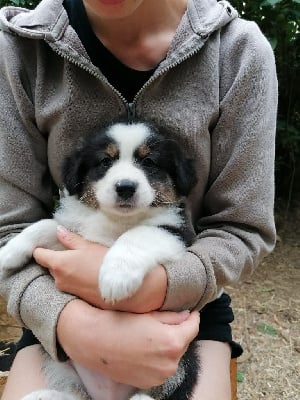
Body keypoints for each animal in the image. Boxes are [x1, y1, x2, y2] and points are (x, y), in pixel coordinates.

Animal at [0, 121, 199, 400]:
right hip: (59, 363)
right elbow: (47, 225)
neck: (117, 220)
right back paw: (39, 396)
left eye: (149, 161)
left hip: (182, 362)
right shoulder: (74, 238)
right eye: (105, 161)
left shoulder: (176, 233)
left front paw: (116, 277)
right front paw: (8, 253)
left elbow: (138, 235)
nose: (125, 187)